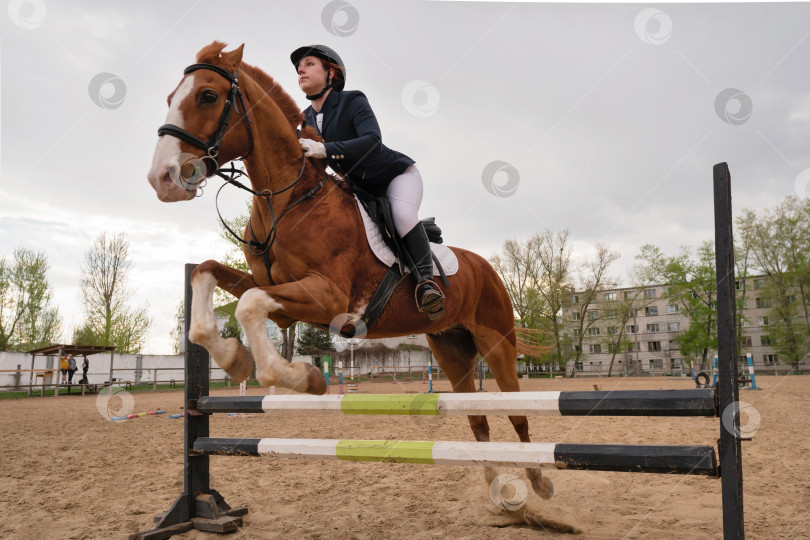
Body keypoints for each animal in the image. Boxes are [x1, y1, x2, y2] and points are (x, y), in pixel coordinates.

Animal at [145, 42, 552, 502]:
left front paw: (300, 378)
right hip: (452, 348)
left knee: (517, 413)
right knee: (477, 417)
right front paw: (233, 358)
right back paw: (503, 495)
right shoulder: (280, 296)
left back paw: (539, 483)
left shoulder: (327, 298)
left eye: (208, 96)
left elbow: (249, 306)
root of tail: (488, 267)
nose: (162, 179)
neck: (288, 201)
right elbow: (207, 276)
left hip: (496, 341)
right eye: (170, 98)